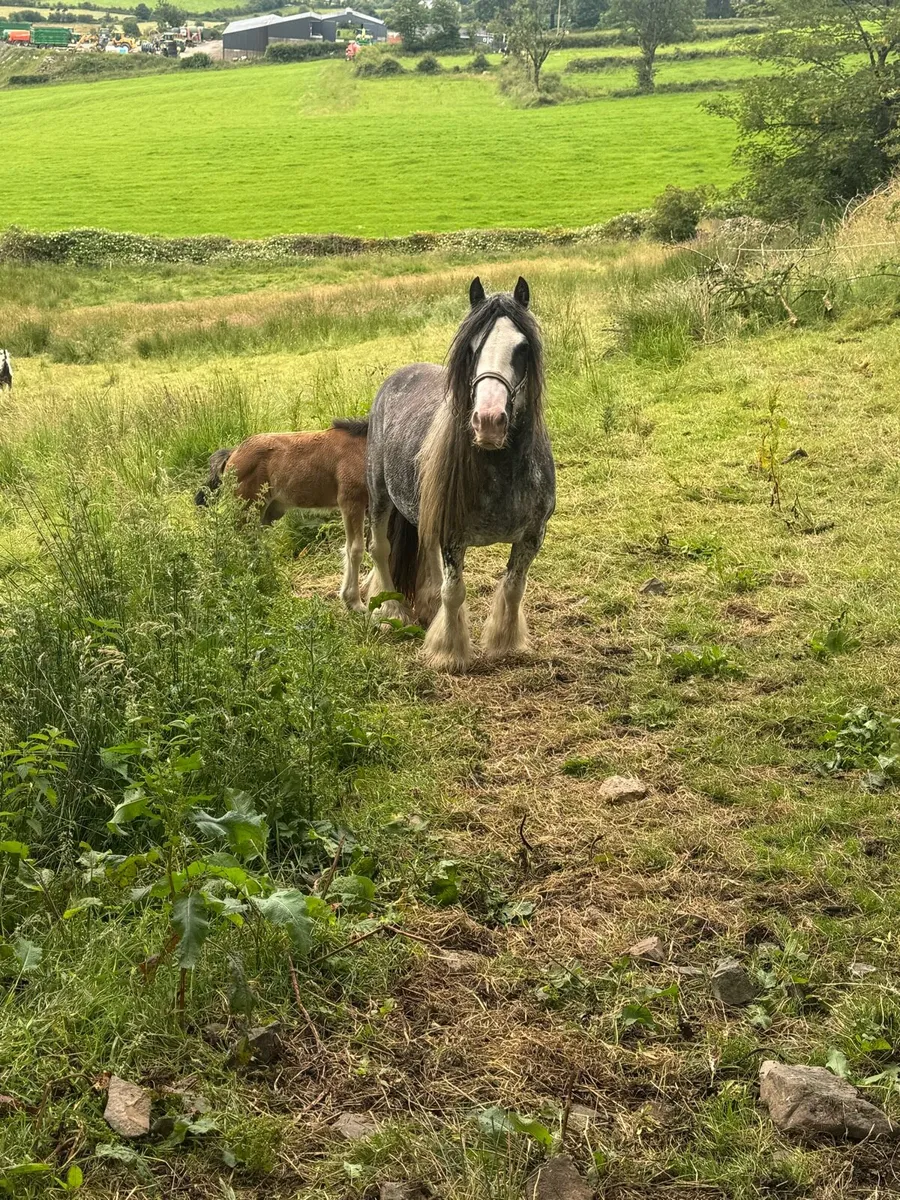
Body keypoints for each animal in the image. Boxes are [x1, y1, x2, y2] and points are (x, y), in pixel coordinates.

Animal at [196, 418, 369, 612]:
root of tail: (233, 453)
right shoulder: (351, 501)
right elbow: (355, 549)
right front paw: (354, 602)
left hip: (268, 512)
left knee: (254, 542)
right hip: (247, 507)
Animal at [366, 275, 555, 673]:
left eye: (522, 348)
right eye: (471, 348)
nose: (488, 421)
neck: (501, 472)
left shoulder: (533, 536)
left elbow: (513, 586)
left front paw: (504, 641)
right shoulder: (453, 535)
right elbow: (455, 591)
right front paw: (449, 651)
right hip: (379, 496)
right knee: (380, 549)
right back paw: (393, 612)